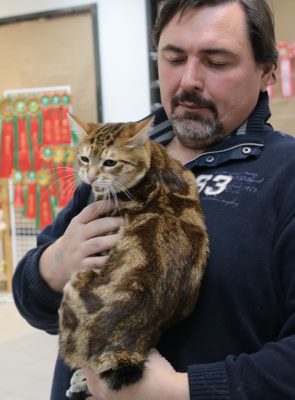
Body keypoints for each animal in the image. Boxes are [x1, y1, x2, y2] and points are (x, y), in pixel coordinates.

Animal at [59, 114, 209, 398]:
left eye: (110, 162)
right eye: (84, 158)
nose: (90, 178)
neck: (156, 170)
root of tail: (124, 349)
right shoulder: (186, 176)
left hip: (75, 284)